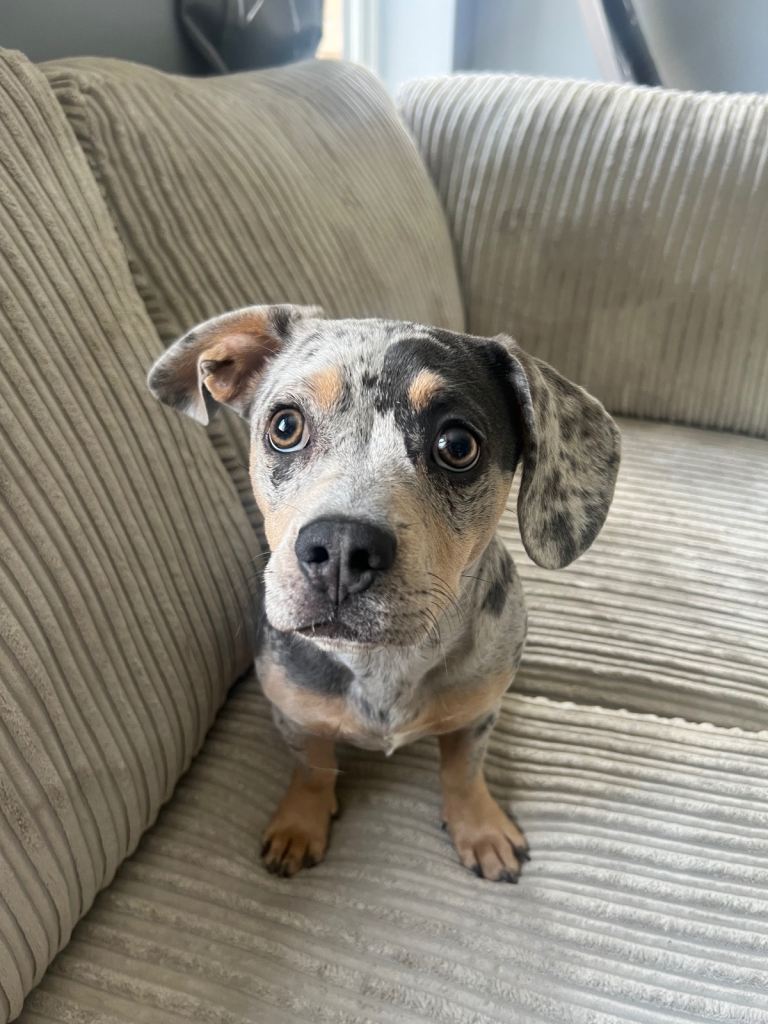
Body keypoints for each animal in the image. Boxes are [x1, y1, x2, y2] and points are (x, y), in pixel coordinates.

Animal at [148, 305, 620, 882]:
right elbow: (313, 768)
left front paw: (480, 829)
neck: (382, 663)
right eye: (285, 426)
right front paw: (300, 824)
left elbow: (463, 771)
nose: (341, 547)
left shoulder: (478, 715)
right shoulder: (294, 713)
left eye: (457, 445)